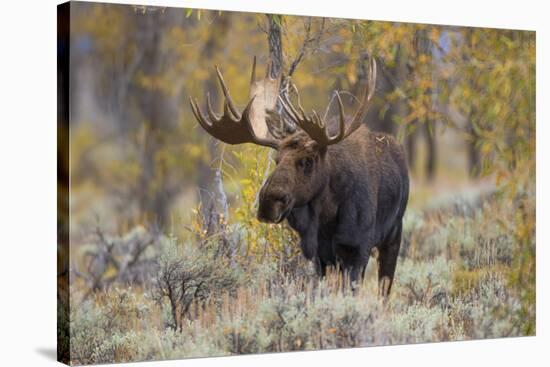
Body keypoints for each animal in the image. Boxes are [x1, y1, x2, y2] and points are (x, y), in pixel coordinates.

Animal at [190, 58, 410, 300]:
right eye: (277, 159)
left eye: (308, 161)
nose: (268, 202)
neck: (326, 215)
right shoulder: (322, 255)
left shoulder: (358, 248)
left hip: (393, 234)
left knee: (385, 288)